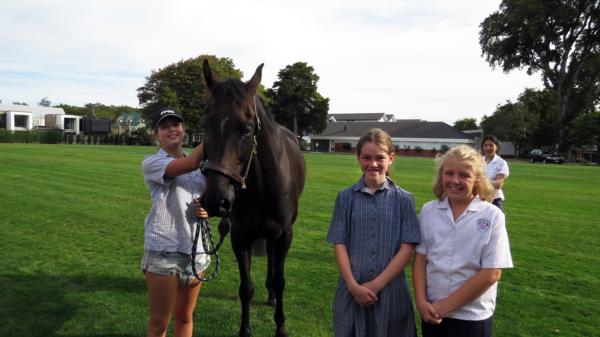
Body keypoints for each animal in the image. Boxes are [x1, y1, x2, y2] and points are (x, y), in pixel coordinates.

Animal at [202, 60, 308, 336]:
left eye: (247, 130)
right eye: (205, 126)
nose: (216, 200)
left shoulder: (284, 235)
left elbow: (281, 281)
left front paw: (280, 327)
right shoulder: (240, 236)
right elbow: (245, 288)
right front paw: (245, 330)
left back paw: (271, 296)